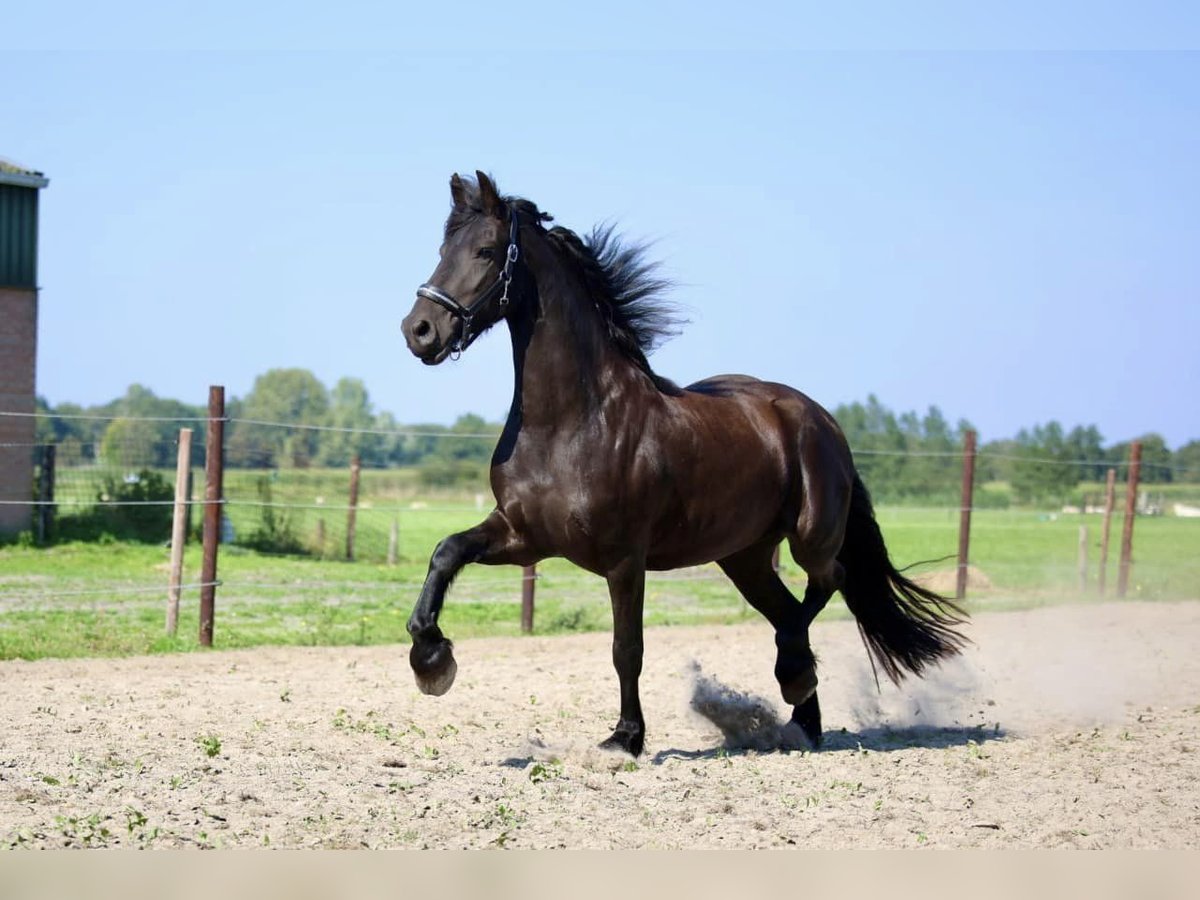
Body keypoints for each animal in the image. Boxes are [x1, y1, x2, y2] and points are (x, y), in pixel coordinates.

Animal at [403, 170, 964, 753]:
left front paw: (625, 738)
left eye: (486, 251)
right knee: (791, 612)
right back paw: (801, 722)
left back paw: (795, 679)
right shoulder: (525, 535)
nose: (419, 330)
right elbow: (446, 553)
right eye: (443, 250)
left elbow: (627, 648)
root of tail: (820, 419)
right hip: (744, 557)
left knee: (828, 582)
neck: (572, 422)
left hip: (810, 536)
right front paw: (432, 662)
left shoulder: (624, 558)